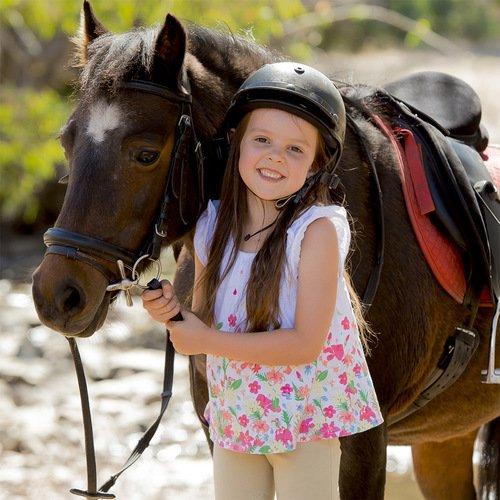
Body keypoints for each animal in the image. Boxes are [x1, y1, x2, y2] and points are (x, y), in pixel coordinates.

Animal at [32, 2, 500, 496]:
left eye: (146, 153)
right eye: (67, 141)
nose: (58, 295)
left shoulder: (366, 439)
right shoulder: (216, 429)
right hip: (445, 439)